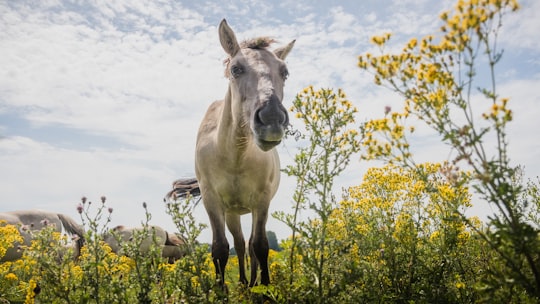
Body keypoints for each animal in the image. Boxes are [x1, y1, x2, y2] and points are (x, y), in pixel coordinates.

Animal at [195, 19, 296, 288]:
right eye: (236, 69)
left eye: (284, 72)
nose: (272, 118)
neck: (234, 156)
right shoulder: (212, 200)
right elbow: (220, 248)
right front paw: (221, 290)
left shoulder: (261, 200)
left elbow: (260, 246)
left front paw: (265, 288)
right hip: (232, 213)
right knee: (240, 245)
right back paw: (242, 282)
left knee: (249, 245)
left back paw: (250, 283)